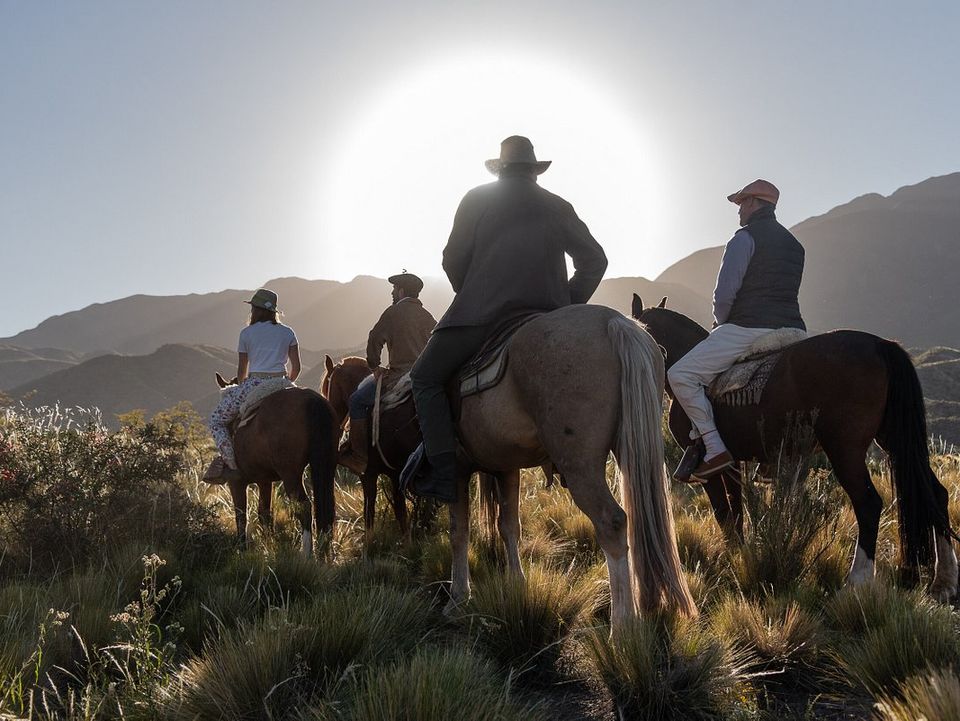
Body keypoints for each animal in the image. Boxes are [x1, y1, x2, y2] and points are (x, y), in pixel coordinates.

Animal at [215, 374, 342, 556]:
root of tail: (312, 400)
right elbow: (265, 513)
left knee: (303, 507)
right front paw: (269, 545)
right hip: (328, 464)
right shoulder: (264, 481)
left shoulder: (236, 483)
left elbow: (241, 515)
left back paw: (307, 553)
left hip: (290, 473)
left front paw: (242, 549)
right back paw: (325, 552)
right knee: (328, 507)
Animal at [632, 294, 956, 600]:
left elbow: (723, 512)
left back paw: (856, 583)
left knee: (868, 504)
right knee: (936, 493)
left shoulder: (708, 469)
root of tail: (880, 345)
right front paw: (739, 555)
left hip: (845, 450)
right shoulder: (732, 462)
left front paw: (730, 560)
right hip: (895, 443)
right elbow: (736, 513)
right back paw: (944, 581)